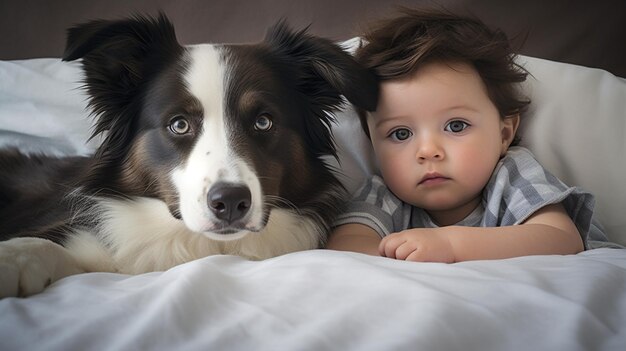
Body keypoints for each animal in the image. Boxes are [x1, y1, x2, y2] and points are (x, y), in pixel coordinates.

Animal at [0, 14, 376, 300]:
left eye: (263, 121)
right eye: (179, 124)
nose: (230, 202)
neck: (196, 243)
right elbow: (40, 243)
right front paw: (12, 259)